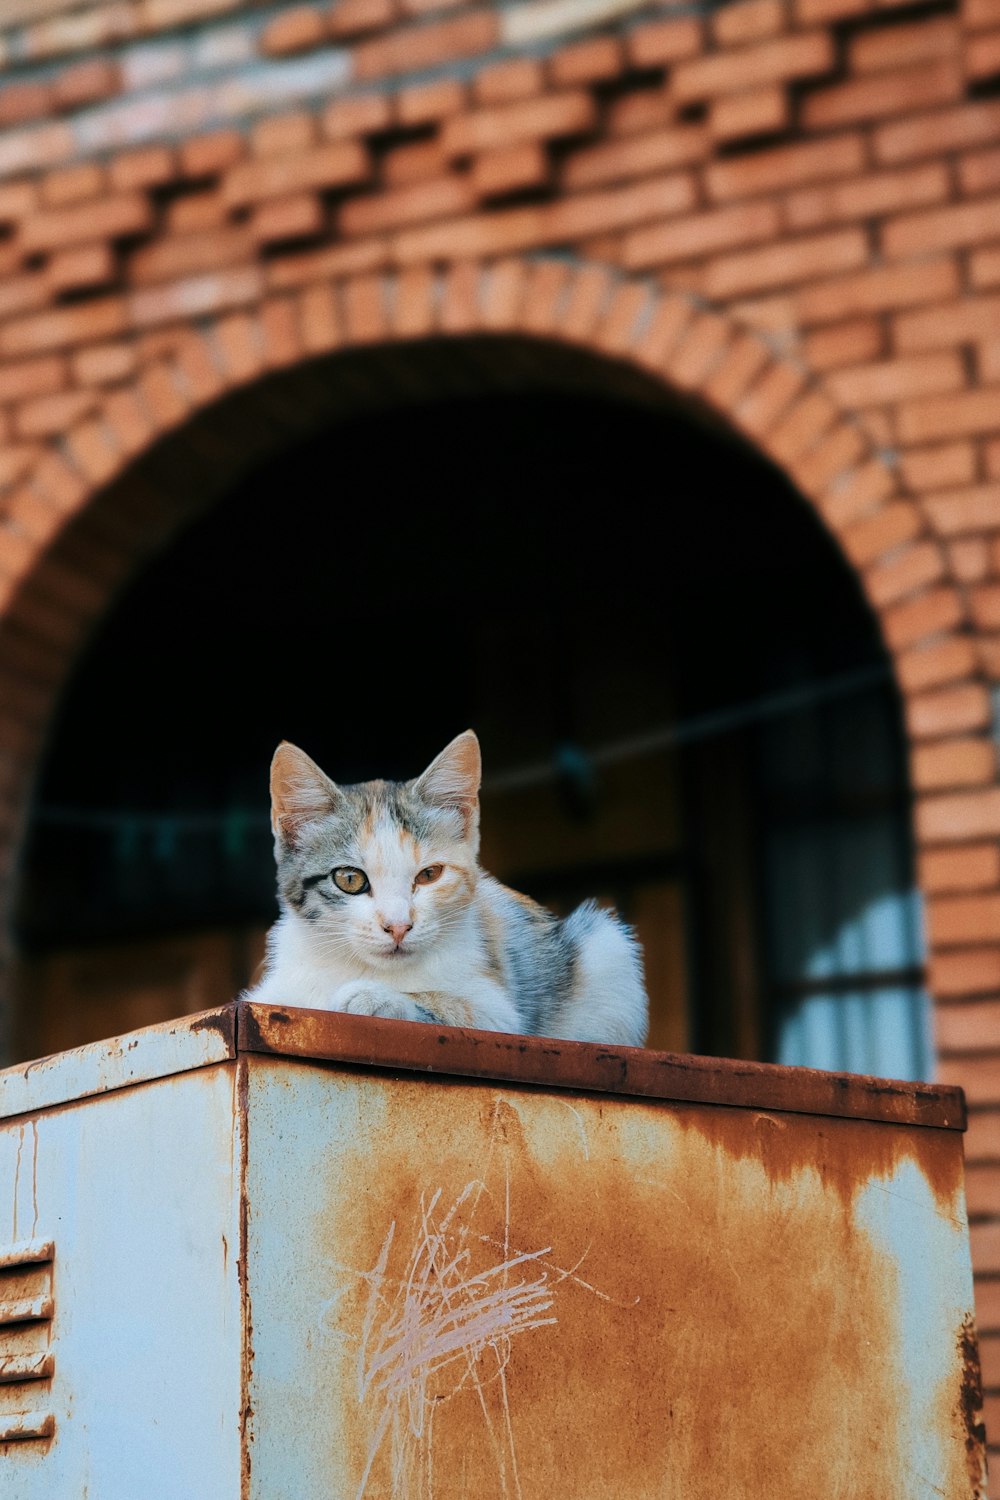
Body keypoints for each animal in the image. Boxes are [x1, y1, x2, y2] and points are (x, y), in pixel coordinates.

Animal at [244, 726, 650, 1044]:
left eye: (429, 875)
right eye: (349, 879)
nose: (398, 926)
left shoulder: (500, 1013)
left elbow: (452, 1006)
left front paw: (372, 997)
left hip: (607, 950)